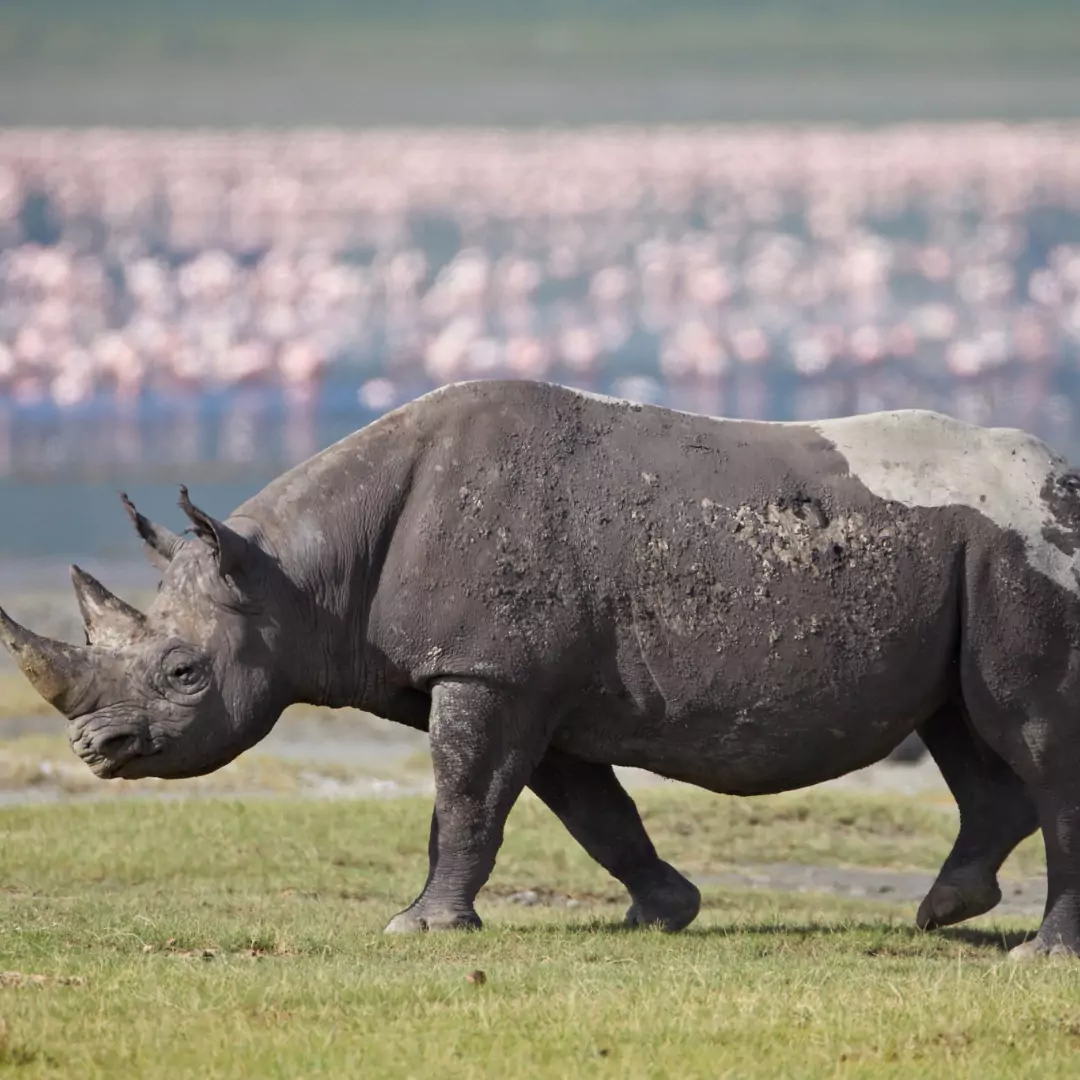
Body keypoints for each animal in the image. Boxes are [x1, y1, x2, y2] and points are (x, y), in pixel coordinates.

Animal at [3, 379, 1079, 958]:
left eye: (186, 674)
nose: (96, 748)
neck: (295, 577)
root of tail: (1064, 477)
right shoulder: (525, 678)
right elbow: (589, 811)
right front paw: (664, 914)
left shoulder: (491, 670)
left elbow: (467, 799)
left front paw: (423, 931)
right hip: (970, 565)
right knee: (961, 727)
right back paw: (943, 913)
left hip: (1025, 553)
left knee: (1027, 729)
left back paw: (1039, 953)